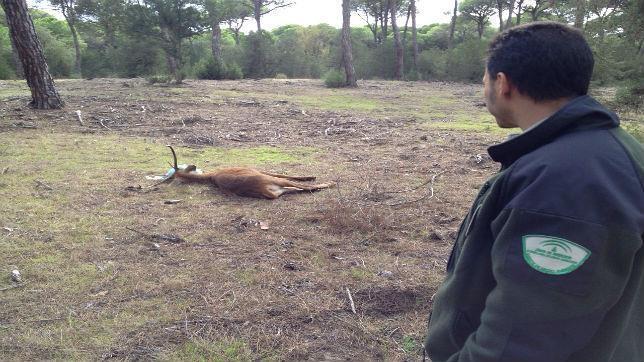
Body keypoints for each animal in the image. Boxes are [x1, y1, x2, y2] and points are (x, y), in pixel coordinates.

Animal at [148, 146, 334, 199]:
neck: (211, 176)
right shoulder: (257, 169)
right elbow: (286, 174)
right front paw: (311, 176)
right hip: (270, 181)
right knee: (303, 187)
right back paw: (331, 183)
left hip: (276, 190)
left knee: (293, 189)